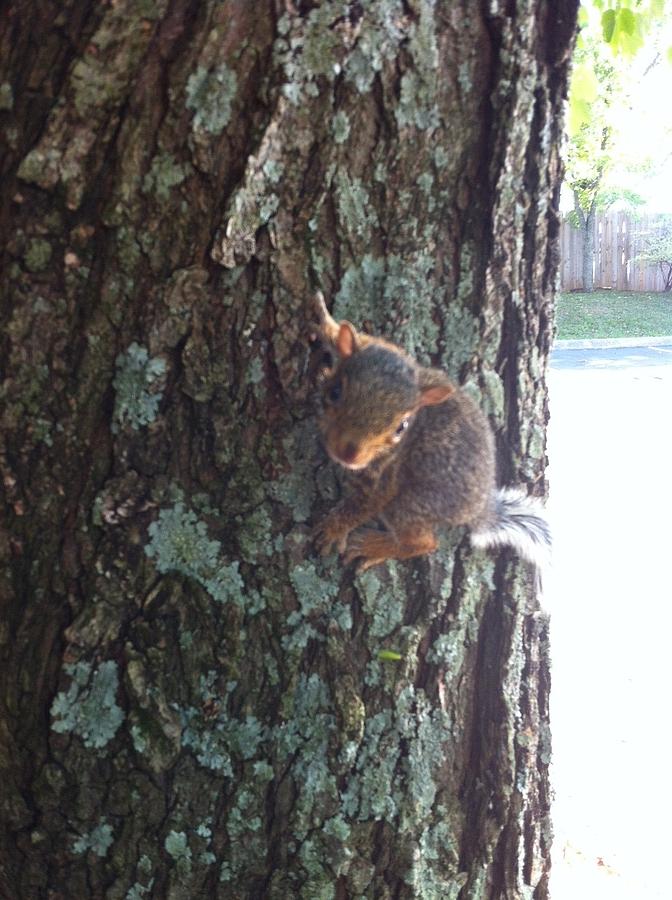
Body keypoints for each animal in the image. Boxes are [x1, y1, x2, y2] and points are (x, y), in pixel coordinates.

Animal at [310, 292, 552, 572]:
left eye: (401, 428)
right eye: (335, 392)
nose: (349, 454)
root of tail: (478, 510)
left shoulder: (385, 474)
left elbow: (365, 504)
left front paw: (333, 529)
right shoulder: (385, 348)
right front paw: (326, 321)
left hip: (411, 505)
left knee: (423, 543)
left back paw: (374, 546)